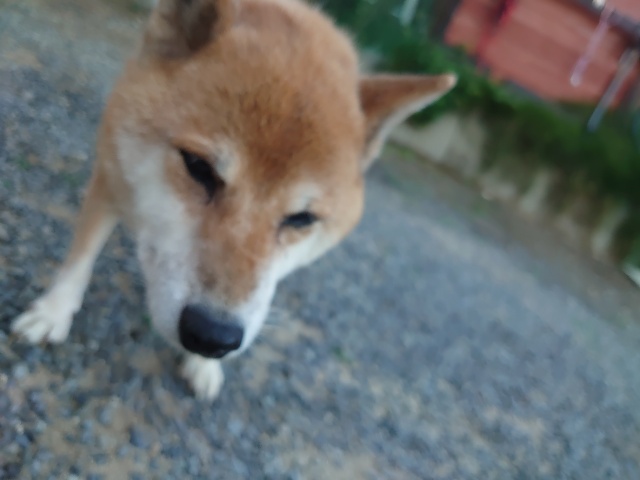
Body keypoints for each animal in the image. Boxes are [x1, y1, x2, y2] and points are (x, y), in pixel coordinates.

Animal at [10, 0, 455, 401]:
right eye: (199, 168)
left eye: (302, 218)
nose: (212, 336)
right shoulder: (111, 175)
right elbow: (81, 256)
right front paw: (53, 313)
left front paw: (204, 366)